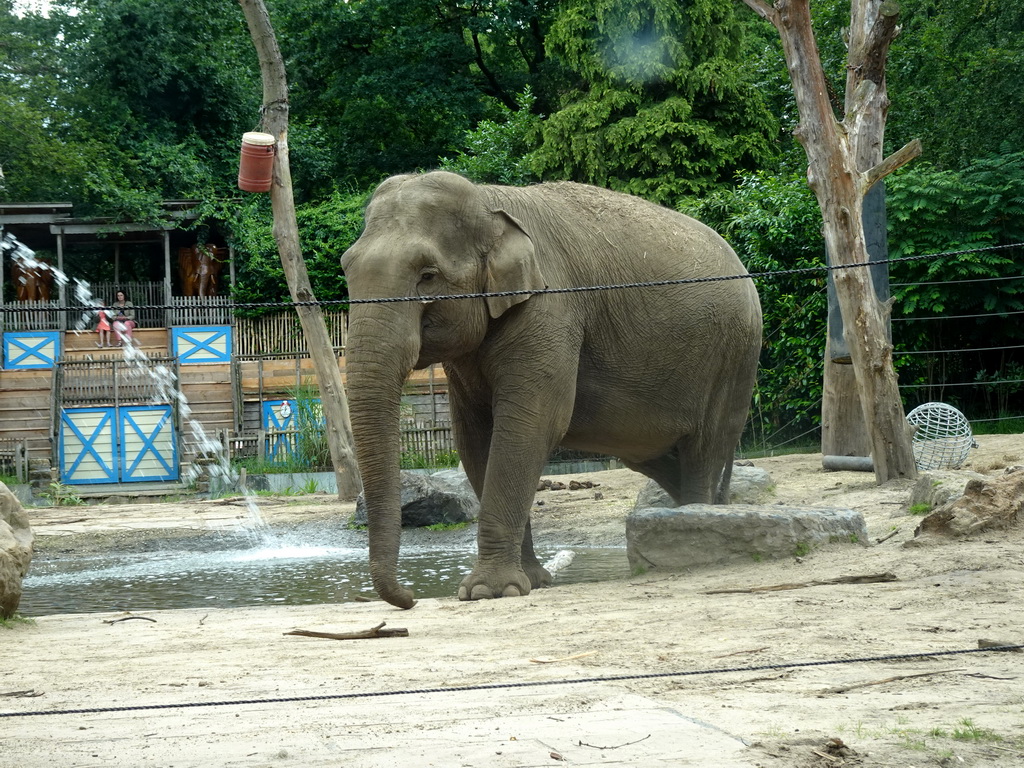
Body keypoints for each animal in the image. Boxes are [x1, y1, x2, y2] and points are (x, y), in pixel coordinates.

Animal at [339, 171, 765, 610]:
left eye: (427, 275)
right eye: (346, 269)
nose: (410, 598)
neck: (489, 202)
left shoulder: (550, 310)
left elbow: (530, 427)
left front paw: (486, 591)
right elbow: (475, 441)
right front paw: (530, 582)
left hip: (734, 359)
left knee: (704, 451)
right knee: (663, 461)